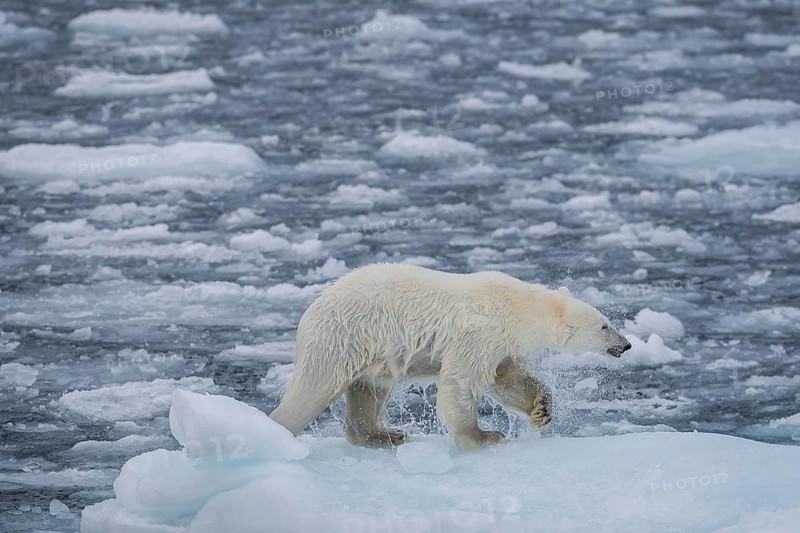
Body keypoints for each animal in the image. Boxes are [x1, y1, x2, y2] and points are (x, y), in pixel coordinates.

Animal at [270, 263, 631, 450]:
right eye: (605, 325)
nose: (626, 345)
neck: (515, 306)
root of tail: (310, 312)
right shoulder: (477, 334)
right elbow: (461, 383)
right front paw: (485, 437)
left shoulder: (500, 346)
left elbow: (508, 379)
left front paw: (541, 409)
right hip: (343, 339)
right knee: (312, 390)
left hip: (373, 355)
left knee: (369, 391)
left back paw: (386, 435)